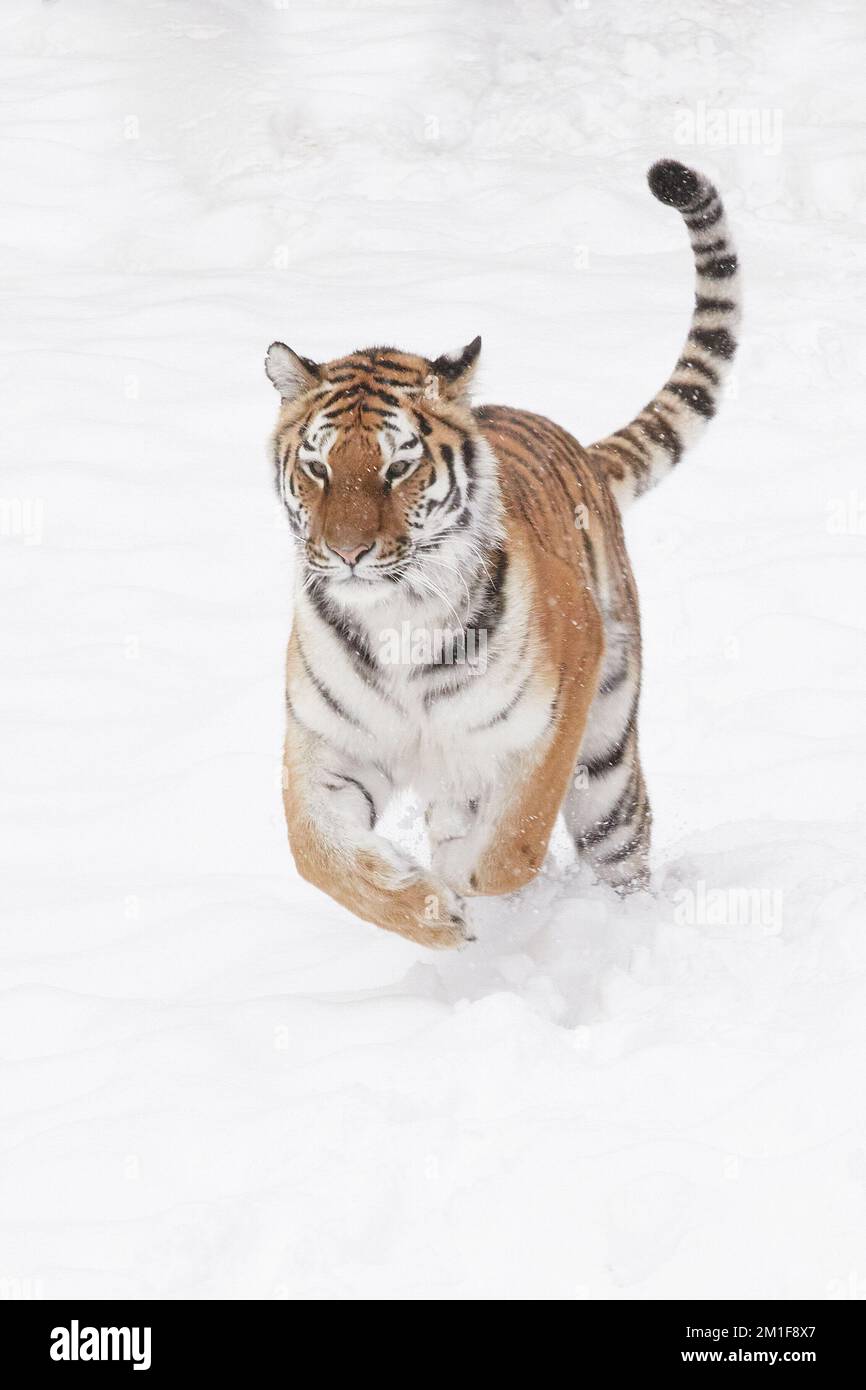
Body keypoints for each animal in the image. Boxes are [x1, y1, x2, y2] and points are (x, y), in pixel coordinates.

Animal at [265, 159, 741, 949]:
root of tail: (580, 448)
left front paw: (473, 886)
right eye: (318, 467)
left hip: (608, 757)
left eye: (398, 467)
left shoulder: (557, 700)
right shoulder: (331, 748)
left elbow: (516, 837)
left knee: (621, 845)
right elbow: (317, 854)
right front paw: (428, 911)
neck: (396, 615)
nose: (348, 552)